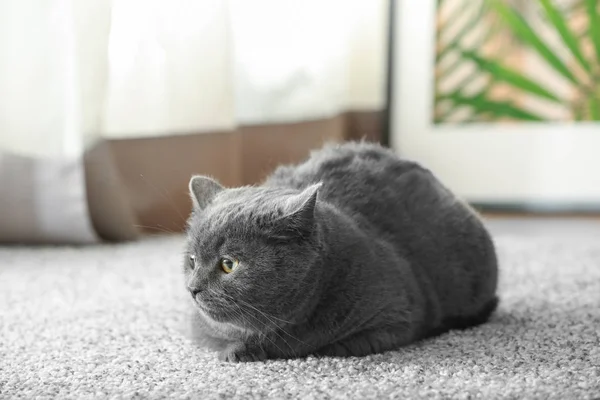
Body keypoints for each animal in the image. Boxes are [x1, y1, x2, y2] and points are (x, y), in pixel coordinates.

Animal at [185, 141, 500, 362]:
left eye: (228, 264)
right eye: (192, 260)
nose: (192, 288)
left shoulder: (395, 317)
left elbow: (328, 345)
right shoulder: (200, 330)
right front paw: (237, 349)